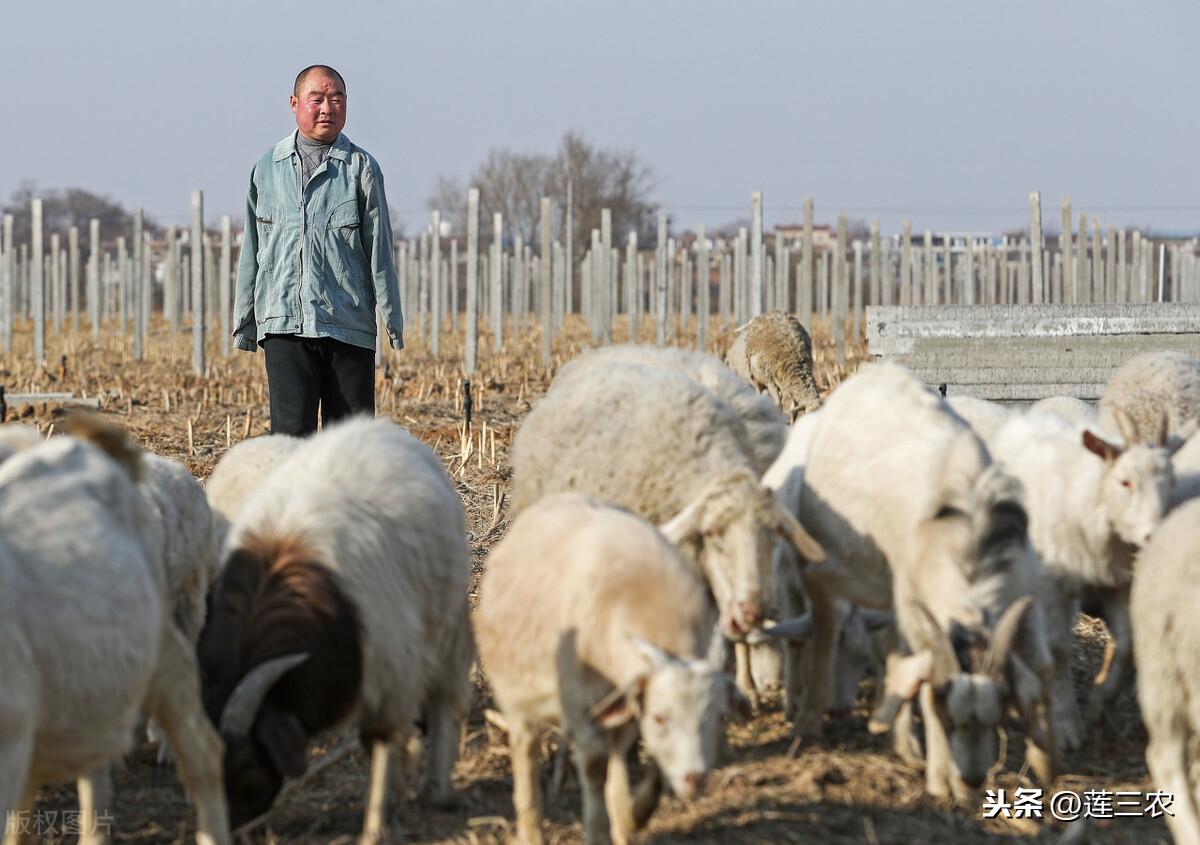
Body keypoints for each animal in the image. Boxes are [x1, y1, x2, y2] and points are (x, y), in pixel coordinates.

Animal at [198, 412, 472, 840]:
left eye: (245, 770)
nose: (232, 833)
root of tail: (377, 427)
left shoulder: (392, 664)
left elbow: (380, 740)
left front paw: (376, 825)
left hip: (447, 623)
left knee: (444, 697)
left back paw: (437, 789)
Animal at [475, 492, 729, 845]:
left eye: (719, 717)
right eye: (661, 717)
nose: (696, 780)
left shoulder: (627, 699)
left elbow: (638, 761)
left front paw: (633, 816)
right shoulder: (581, 704)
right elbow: (596, 766)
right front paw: (599, 830)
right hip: (518, 699)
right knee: (526, 752)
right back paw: (531, 829)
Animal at [777, 362, 1051, 796]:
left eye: (998, 712)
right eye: (947, 712)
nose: (973, 779)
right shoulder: (915, 598)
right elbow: (921, 676)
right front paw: (940, 782)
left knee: (890, 647)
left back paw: (904, 744)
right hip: (822, 563)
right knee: (825, 628)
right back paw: (808, 721)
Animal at [988, 408, 1176, 744]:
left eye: (1172, 482)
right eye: (1125, 482)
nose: (1155, 535)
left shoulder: (1116, 584)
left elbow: (1127, 645)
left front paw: (1099, 705)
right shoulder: (1051, 584)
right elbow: (1059, 649)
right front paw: (1065, 725)